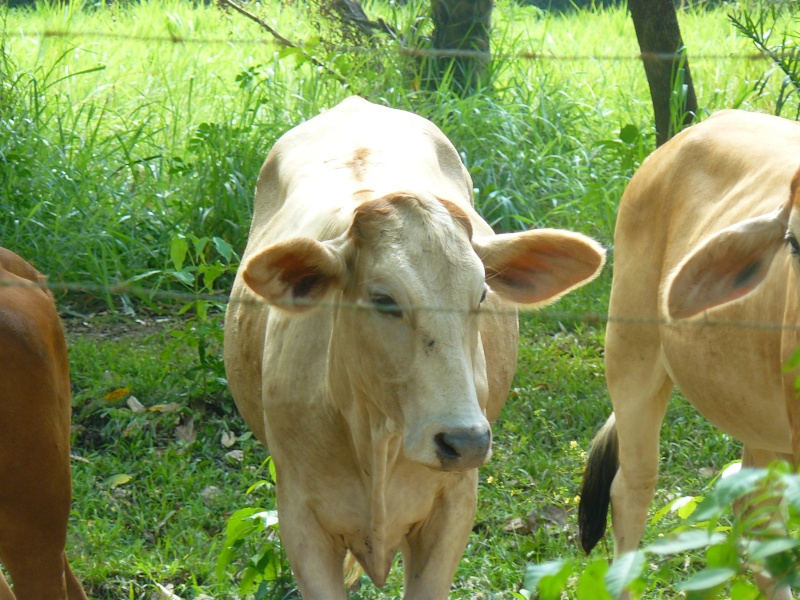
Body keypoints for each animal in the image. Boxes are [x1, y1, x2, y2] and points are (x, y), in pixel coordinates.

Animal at [225, 96, 608, 596]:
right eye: (384, 299)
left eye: (481, 295)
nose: (465, 440)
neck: (377, 433)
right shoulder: (300, 518)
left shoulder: (453, 507)